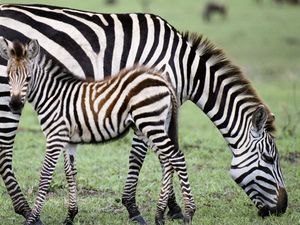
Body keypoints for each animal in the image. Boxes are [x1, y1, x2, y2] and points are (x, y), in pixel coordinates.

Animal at [0, 38, 197, 225]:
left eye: (28, 78)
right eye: (8, 77)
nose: (14, 105)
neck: (53, 96)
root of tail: (163, 80)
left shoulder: (55, 136)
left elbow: (45, 175)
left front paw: (33, 219)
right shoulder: (69, 141)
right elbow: (70, 174)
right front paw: (70, 216)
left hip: (150, 123)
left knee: (177, 156)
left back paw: (188, 212)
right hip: (149, 126)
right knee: (167, 160)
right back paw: (159, 215)